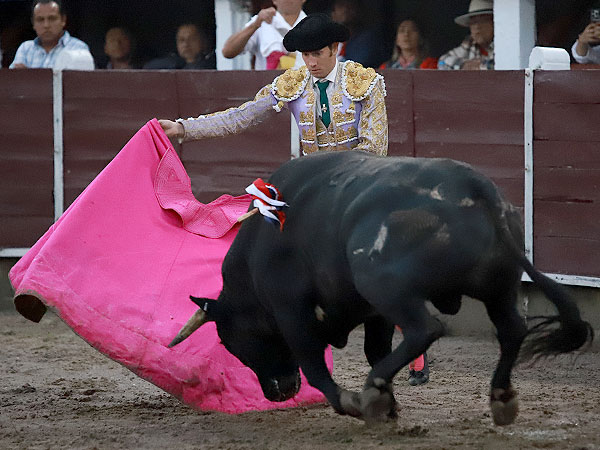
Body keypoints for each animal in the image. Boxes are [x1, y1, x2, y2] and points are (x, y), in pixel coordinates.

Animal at [170, 150, 596, 426]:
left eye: (231, 341)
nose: (277, 393)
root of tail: (479, 188)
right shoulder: (373, 314)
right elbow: (375, 350)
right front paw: (389, 407)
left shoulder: (291, 309)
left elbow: (314, 364)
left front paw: (356, 403)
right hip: (498, 287)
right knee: (510, 330)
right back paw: (501, 399)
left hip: (385, 285)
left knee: (426, 328)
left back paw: (371, 391)